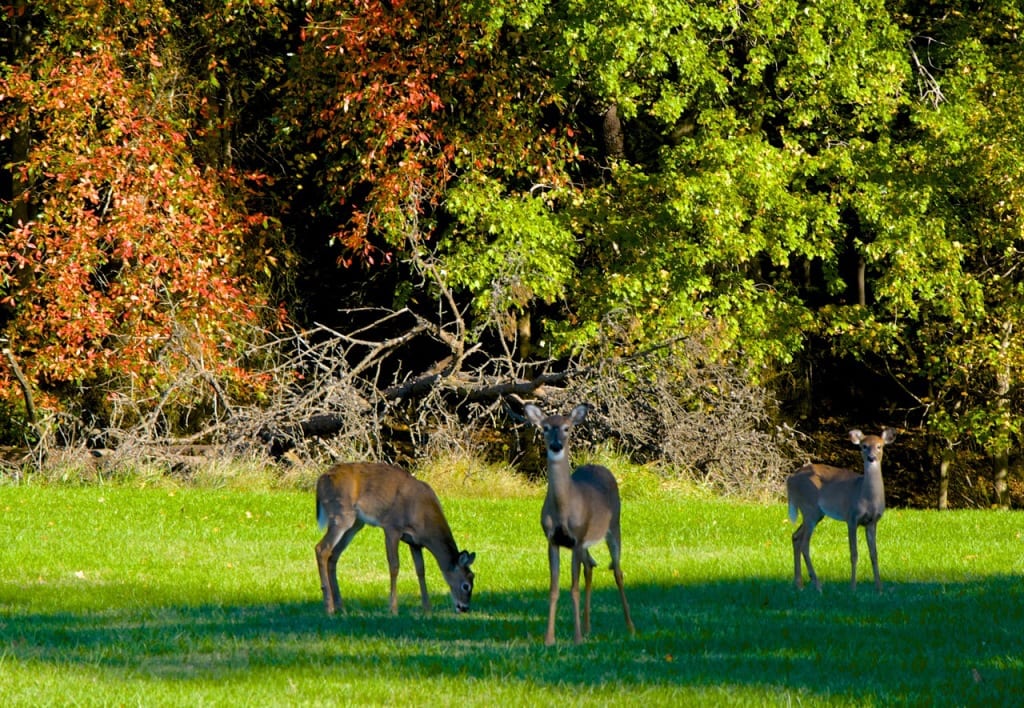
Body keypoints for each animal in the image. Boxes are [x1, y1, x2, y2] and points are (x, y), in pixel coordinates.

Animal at [315, 463, 475, 618]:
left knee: (333, 555)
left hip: (356, 523)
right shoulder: (392, 527)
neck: (423, 518)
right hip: (341, 513)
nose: (464, 608)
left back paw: (340, 608)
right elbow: (394, 566)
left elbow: (421, 570)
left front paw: (427, 610)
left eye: (473, 577)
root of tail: (320, 480)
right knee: (321, 548)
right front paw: (393, 609)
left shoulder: (415, 542)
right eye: (466, 585)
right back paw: (329, 608)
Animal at [528, 401, 630, 643]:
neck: (564, 508)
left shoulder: (576, 539)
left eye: (566, 428)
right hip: (586, 543)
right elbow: (554, 588)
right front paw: (549, 639)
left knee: (618, 571)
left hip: (614, 527)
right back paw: (587, 627)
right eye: (545, 428)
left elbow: (573, 588)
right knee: (590, 566)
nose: (556, 445)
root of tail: (601, 467)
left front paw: (576, 638)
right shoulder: (553, 540)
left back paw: (630, 627)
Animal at [782, 432, 897, 594]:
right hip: (809, 507)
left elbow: (874, 554)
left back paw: (799, 584)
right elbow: (854, 553)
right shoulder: (852, 517)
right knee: (804, 543)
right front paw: (853, 587)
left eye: (879, 446)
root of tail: (790, 479)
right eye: (864, 446)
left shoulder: (872, 522)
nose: (871, 457)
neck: (866, 496)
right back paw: (817, 585)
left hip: (815, 513)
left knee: (796, 537)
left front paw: (879, 589)